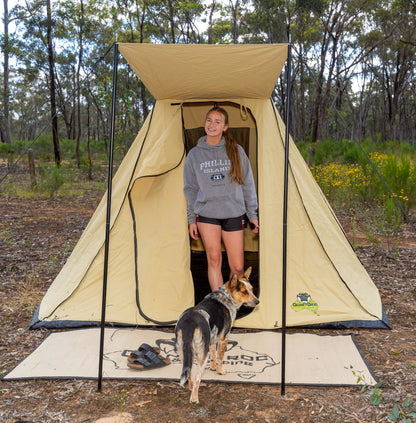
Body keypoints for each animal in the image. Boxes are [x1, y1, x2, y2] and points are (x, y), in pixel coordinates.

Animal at [174, 268, 258, 404]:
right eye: (244, 292)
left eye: (251, 289)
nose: (257, 301)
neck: (226, 297)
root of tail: (189, 324)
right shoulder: (223, 338)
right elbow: (220, 358)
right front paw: (220, 371)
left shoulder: (212, 339)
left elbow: (214, 355)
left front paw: (213, 368)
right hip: (202, 356)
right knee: (197, 378)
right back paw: (194, 398)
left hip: (183, 353)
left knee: (189, 374)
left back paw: (190, 387)